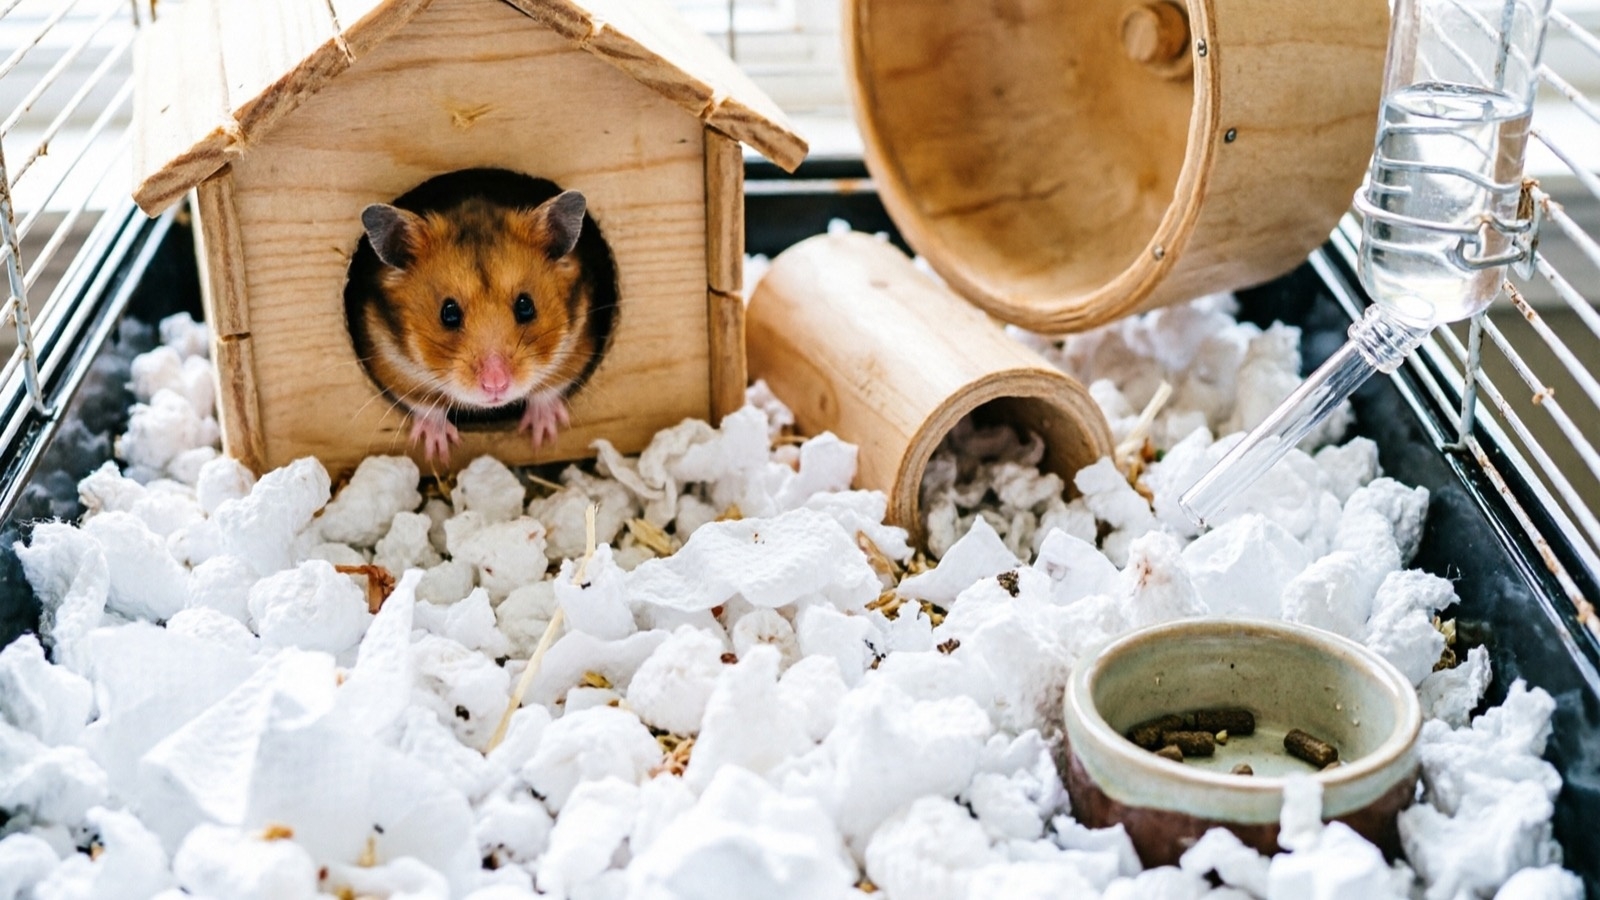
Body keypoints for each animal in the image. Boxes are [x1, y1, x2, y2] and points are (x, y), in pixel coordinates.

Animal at [344, 168, 618, 462]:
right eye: (448, 313)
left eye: (526, 306)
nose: (496, 385)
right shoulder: (387, 360)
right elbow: (423, 402)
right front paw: (438, 451)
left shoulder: (579, 343)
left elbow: (550, 388)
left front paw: (543, 436)